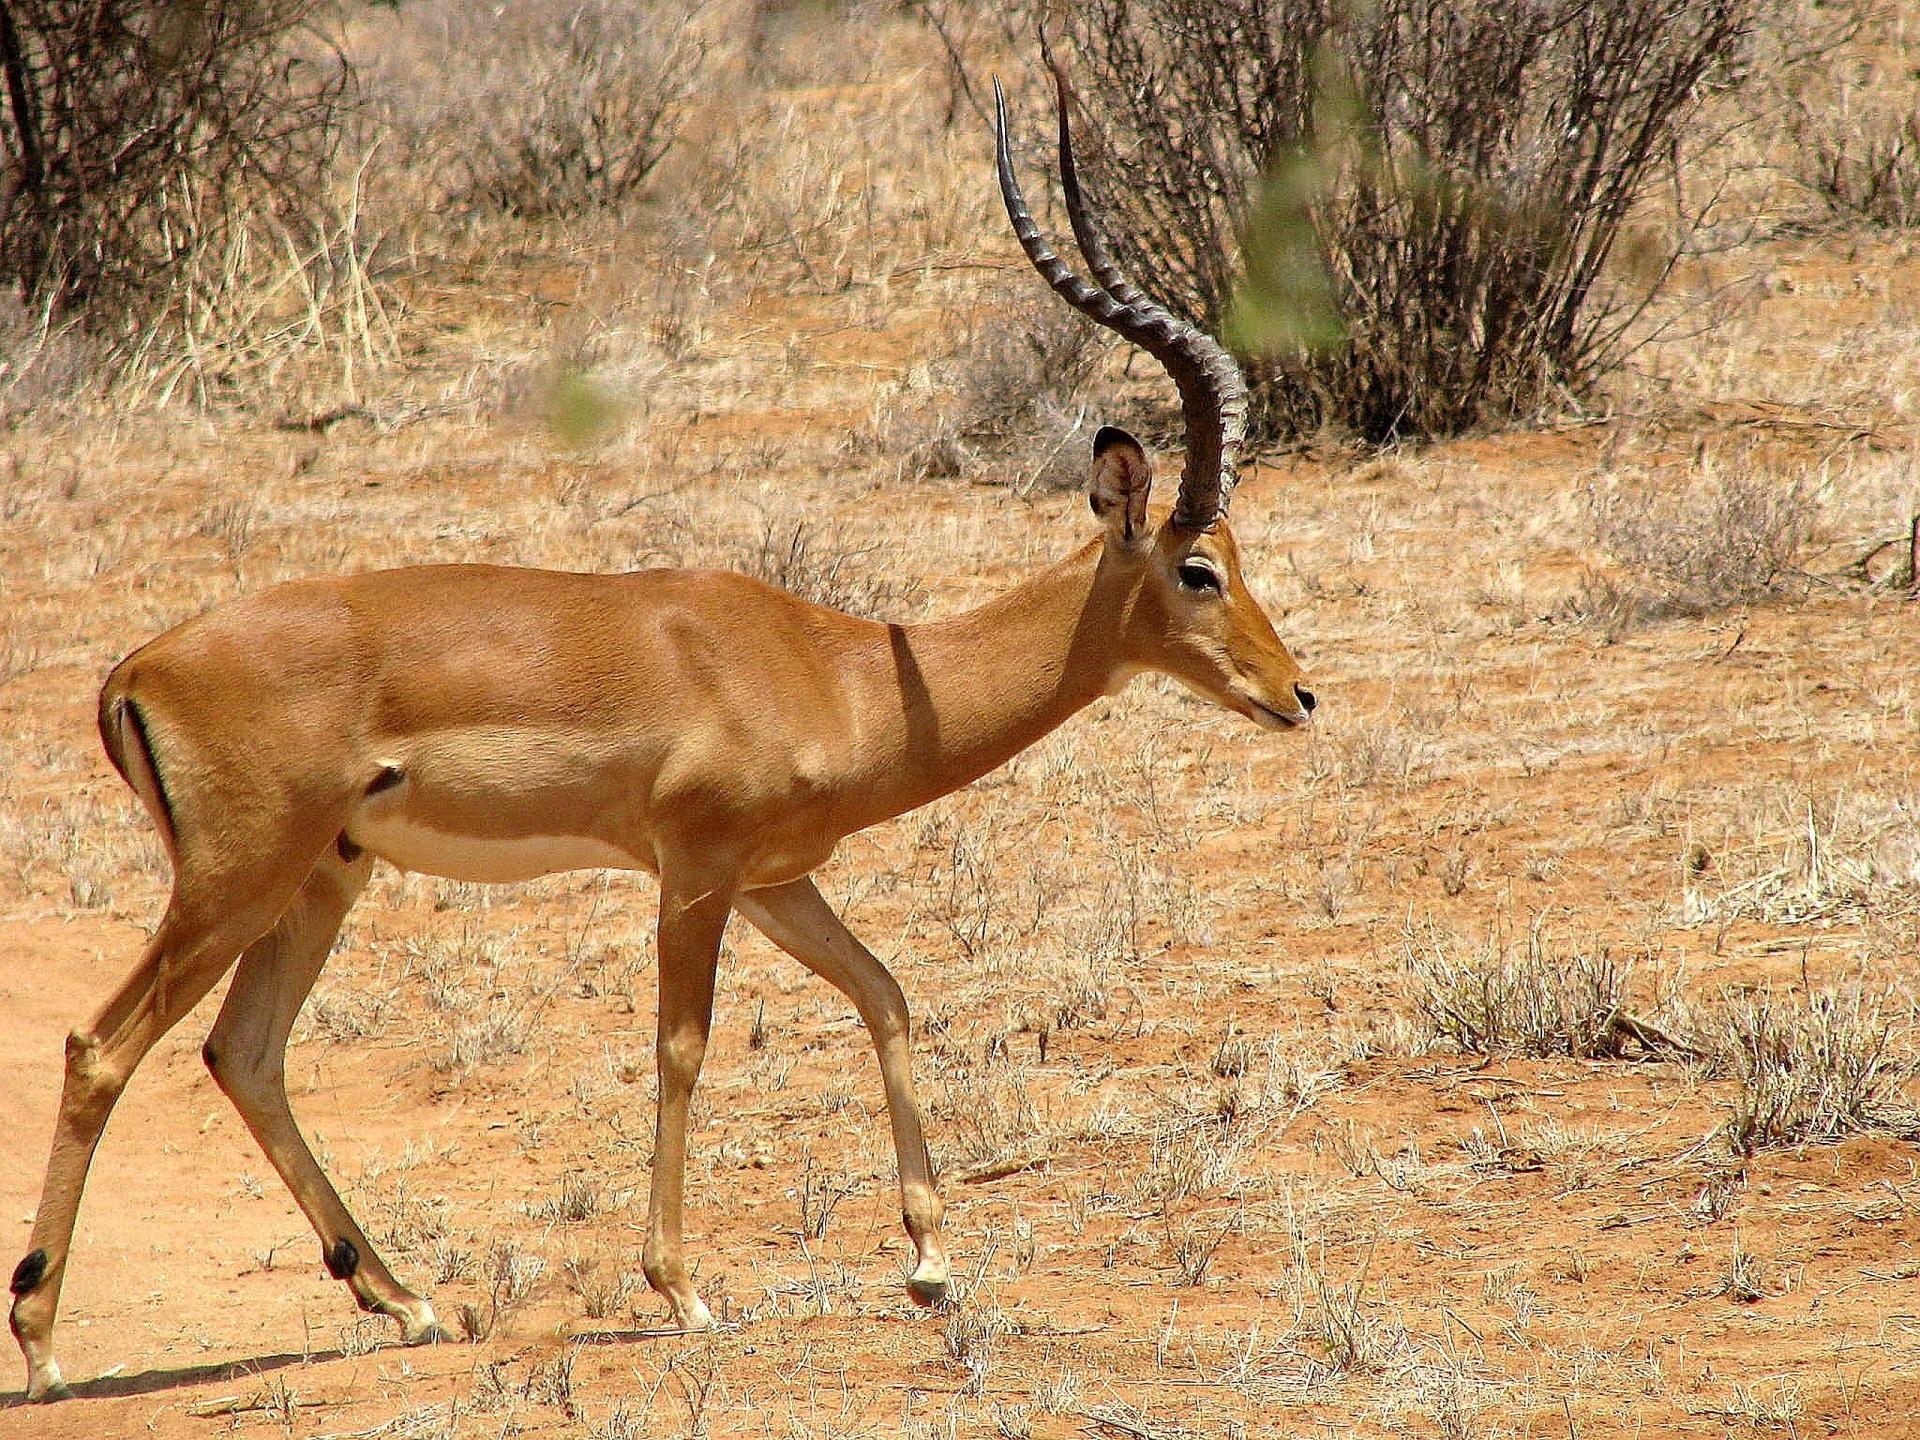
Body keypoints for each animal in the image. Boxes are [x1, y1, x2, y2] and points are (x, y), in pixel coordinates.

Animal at [3, 67, 1320, 1397]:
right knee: (100, 1049)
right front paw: (682, 1290)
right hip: (235, 880)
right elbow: (683, 1048)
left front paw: (930, 1264)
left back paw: (407, 1301)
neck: (834, 667)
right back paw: (48, 1346)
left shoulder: (776, 879)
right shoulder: (694, 871)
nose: (1298, 694)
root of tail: (138, 664)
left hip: (324, 876)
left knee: (247, 1053)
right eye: (1198, 568)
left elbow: (888, 994)